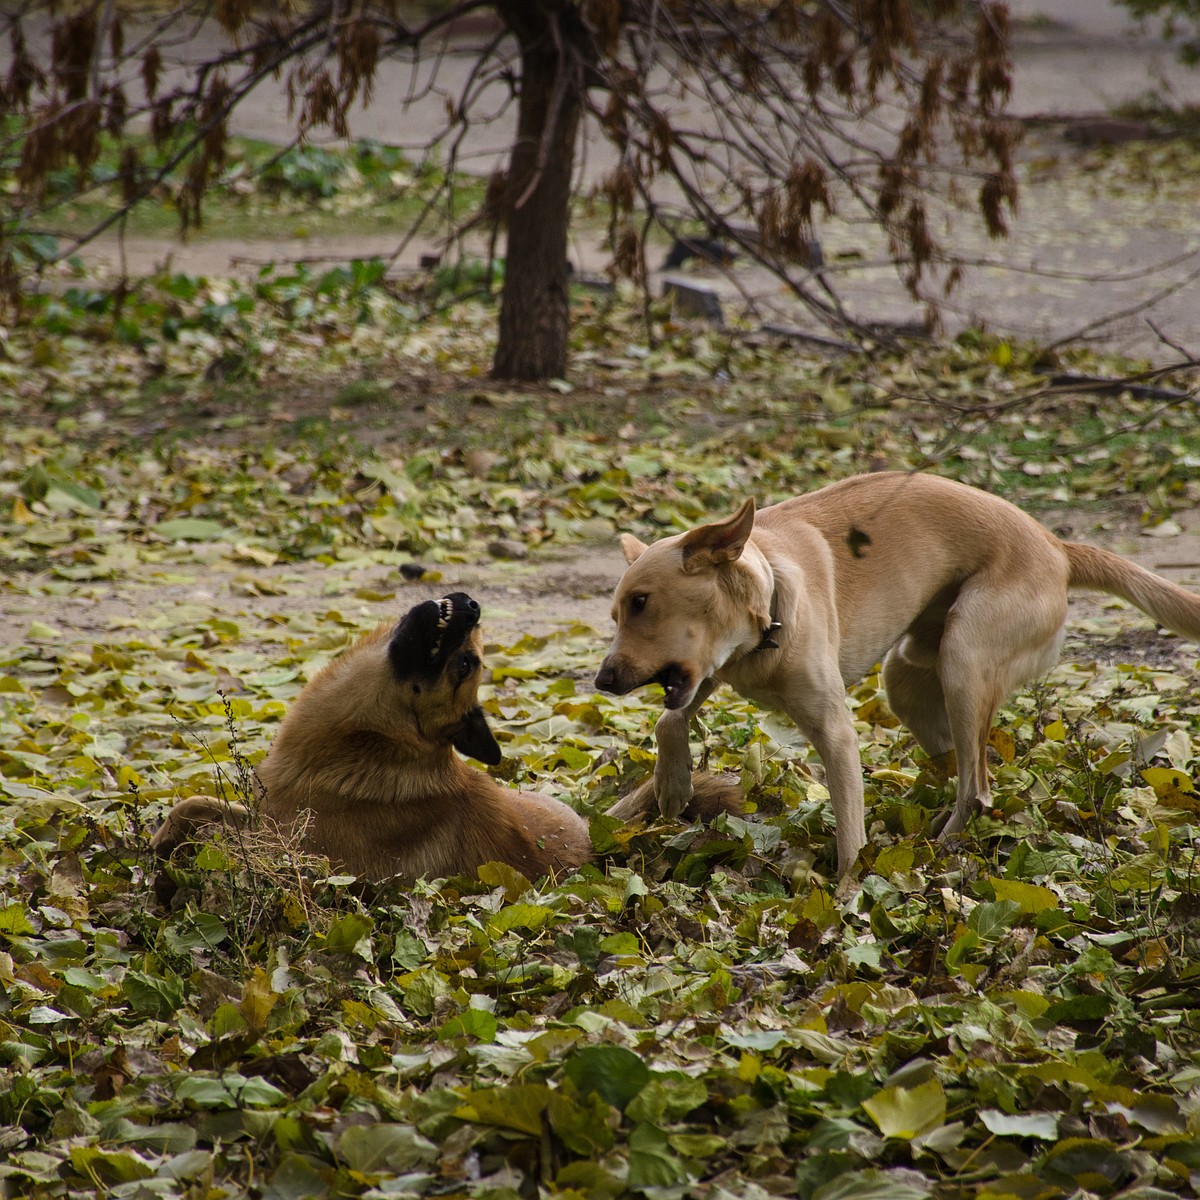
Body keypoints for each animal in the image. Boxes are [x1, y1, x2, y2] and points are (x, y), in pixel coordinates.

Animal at [150, 592, 739, 883]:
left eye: (464, 664)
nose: (474, 605)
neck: (370, 741)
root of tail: (599, 841)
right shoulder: (269, 809)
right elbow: (198, 802)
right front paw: (161, 838)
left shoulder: (294, 847)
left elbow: (225, 833)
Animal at [595, 472, 1200, 878]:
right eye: (616, 614)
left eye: (642, 603)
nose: (601, 681)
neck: (769, 597)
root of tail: (1057, 547)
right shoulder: (710, 675)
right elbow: (668, 721)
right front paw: (672, 786)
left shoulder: (834, 730)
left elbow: (849, 835)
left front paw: (845, 899)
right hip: (909, 679)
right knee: (966, 767)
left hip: (963, 660)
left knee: (977, 789)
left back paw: (940, 849)